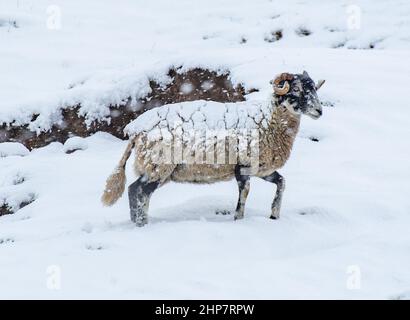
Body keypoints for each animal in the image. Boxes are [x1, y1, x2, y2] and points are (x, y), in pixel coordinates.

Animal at [101, 71, 326, 226]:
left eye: (314, 88)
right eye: (296, 90)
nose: (319, 111)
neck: (268, 120)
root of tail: (135, 129)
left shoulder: (262, 170)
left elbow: (282, 183)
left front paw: (274, 215)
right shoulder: (243, 168)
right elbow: (244, 197)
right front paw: (238, 220)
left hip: (157, 169)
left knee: (135, 192)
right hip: (158, 166)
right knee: (138, 192)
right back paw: (142, 225)